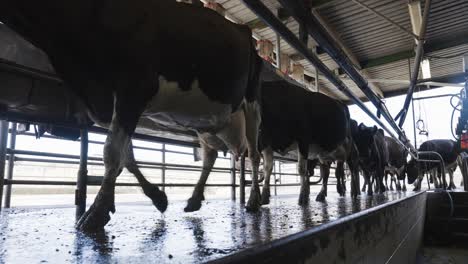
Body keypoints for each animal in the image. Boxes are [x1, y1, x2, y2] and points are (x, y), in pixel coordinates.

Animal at [0, 0, 264, 230]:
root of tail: (243, 29)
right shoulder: (109, 102)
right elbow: (126, 156)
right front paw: (156, 197)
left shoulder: (135, 87)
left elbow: (111, 152)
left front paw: (95, 212)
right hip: (202, 119)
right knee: (210, 155)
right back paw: (195, 198)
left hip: (251, 101)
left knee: (254, 154)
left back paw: (254, 200)